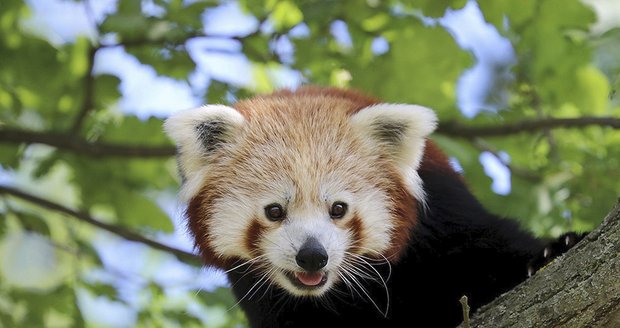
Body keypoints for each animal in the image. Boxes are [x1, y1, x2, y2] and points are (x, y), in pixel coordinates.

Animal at [163, 86, 580, 326]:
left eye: (338, 209)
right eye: (274, 211)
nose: (312, 256)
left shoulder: (443, 212)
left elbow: (489, 245)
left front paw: (553, 250)